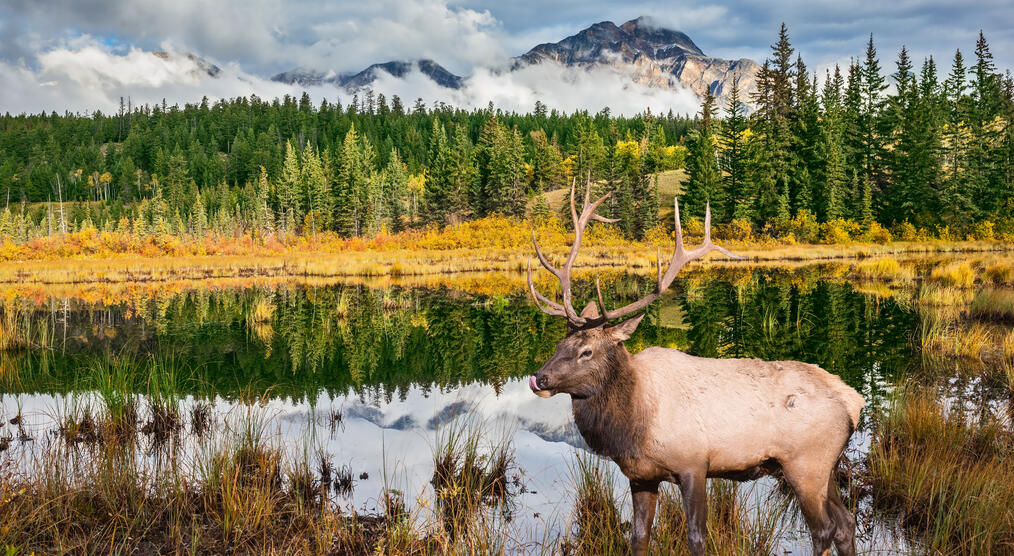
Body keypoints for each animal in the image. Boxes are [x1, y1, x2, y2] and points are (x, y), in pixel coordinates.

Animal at [527, 179, 867, 556]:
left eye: (586, 351)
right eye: (559, 345)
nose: (539, 378)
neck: (633, 423)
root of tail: (854, 402)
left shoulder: (693, 463)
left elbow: (696, 536)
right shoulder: (641, 475)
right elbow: (639, 537)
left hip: (805, 462)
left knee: (824, 528)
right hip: (825, 465)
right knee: (846, 523)